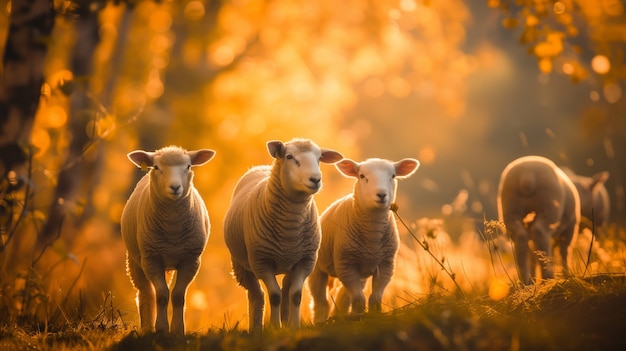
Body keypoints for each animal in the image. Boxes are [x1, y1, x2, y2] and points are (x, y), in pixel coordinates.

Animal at [120, 145, 216, 336]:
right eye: (157, 167)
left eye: (188, 166)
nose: (175, 187)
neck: (173, 230)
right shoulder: (151, 259)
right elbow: (162, 295)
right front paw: (162, 329)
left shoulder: (191, 260)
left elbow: (178, 296)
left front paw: (178, 330)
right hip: (135, 260)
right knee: (146, 292)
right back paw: (147, 327)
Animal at [223, 139, 342, 332]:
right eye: (289, 156)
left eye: (319, 158)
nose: (315, 179)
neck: (289, 230)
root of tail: (261, 167)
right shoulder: (262, 262)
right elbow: (274, 295)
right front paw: (274, 327)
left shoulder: (305, 261)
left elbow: (295, 295)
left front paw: (294, 326)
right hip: (242, 264)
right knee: (256, 294)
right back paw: (256, 327)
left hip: (290, 262)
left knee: (286, 288)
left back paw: (285, 321)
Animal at [308, 157, 420, 324]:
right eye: (362, 176)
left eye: (393, 176)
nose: (381, 194)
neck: (372, 238)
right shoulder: (346, 264)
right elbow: (359, 299)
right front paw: (358, 317)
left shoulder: (385, 265)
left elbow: (375, 298)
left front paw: (374, 316)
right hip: (319, 269)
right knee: (320, 300)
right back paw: (321, 320)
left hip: (359, 273)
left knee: (342, 297)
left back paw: (339, 316)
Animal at [494, 156, 576, 286]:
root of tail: (527, 173)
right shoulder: (570, 228)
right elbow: (565, 251)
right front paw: (567, 274)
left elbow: (533, 256)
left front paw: (534, 277)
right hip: (548, 206)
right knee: (540, 232)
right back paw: (547, 277)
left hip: (511, 209)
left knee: (521, 237)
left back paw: (525, 281)